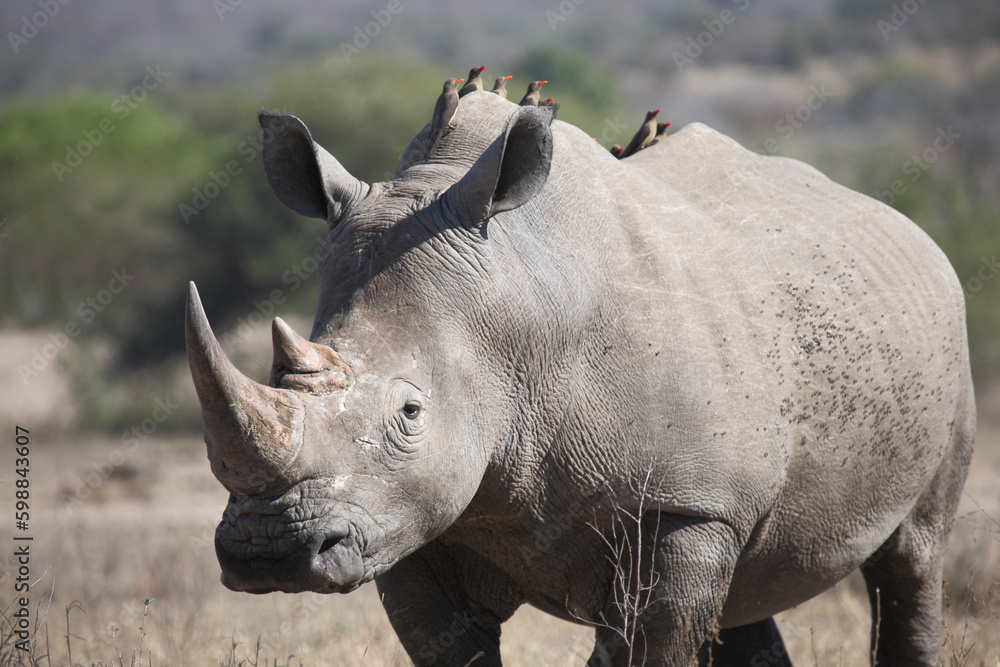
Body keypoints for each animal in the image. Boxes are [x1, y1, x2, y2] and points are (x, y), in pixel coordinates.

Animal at [185, 91, 975, 666]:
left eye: (410, 412)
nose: (268, 549)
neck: (515, 332)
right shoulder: (409, 518)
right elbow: (451, 647)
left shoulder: (687, 503)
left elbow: (652, 642)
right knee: (746, 598)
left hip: (948, 332)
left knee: (913, 557)